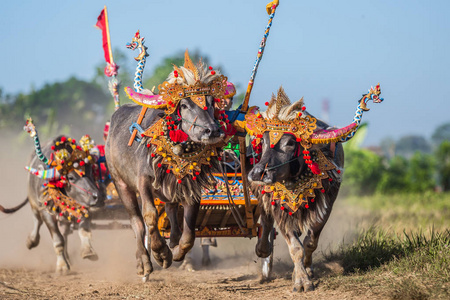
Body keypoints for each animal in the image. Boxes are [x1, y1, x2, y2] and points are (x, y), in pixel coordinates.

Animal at [0, 134, 103, 274]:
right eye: (71, 177)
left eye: (91, 172)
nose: (97, 197)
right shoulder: (46, 211)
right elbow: (58, 240)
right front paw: (62, 266)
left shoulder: (84, 207)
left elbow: (84, 230)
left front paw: (88, 251)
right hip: (34, 203)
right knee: (37, 221)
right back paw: (31, 241)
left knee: (65, 232)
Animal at [248, 85, 382, 292]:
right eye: (263, 141)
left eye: (290, 142)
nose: (258, 173)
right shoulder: (280, 207)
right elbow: (295, 247)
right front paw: (301, 281)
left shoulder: (327, 202)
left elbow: (310, 243)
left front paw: (306, 272)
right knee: (266, 222)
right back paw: (263, 249)